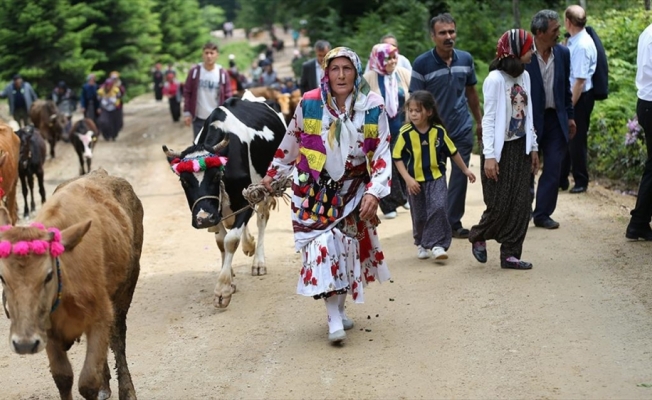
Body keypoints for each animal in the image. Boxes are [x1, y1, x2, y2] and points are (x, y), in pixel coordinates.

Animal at [0, 169, 144, 400]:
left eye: (48, 275)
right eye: (2, 277)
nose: (24, 344)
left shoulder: (101, 316)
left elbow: (88, 382)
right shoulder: (48, 330)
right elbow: (63, 377)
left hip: (125, 291)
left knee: (118, 339)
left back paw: (126, 390)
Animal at [162, 97, 284, 310]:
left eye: (216, 176)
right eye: (183, 181)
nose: (203, 219)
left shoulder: (246, 200)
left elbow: (230, 240)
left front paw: (223, 289)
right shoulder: (215, 211)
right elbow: (221, 241)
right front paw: (230, 278)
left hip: (265, 189)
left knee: (262, 219)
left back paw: (259, 262)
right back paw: (249, 245)